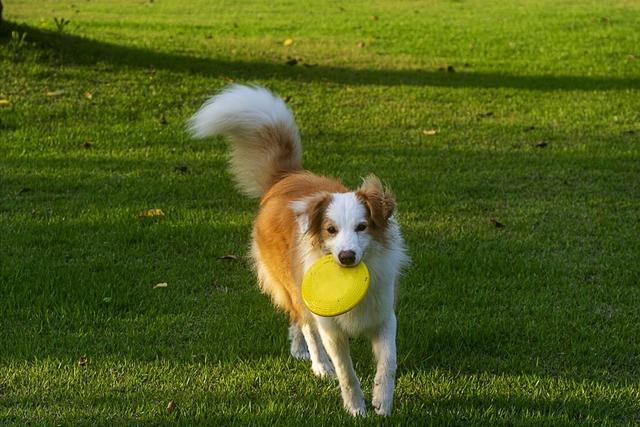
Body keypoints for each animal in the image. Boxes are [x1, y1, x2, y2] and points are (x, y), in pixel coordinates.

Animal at [188, 85, 408, 416]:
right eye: (331, 230)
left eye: (362, 227)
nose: (346, 257)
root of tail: (286, 177)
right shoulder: (330, 328)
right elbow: (346, 372)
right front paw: (356, 408)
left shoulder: (383, 316)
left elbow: (388, 363)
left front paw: (382, 401)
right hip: (293, 284)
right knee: (303, 322)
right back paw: (318, 364)